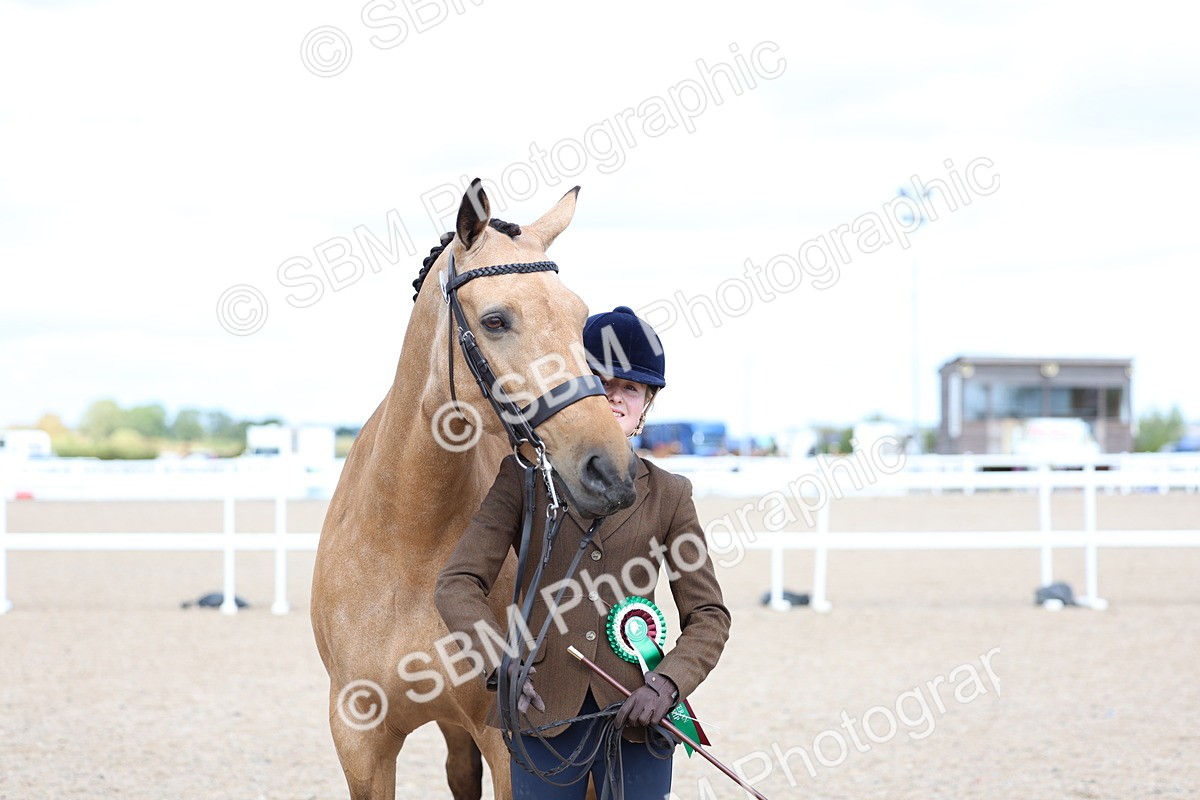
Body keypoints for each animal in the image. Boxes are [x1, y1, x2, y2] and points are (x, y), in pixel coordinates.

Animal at [311, 180, 639, 799]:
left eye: (581, 315)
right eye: (495, 320)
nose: (608, 472)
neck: (407, 540)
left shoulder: (511, 744)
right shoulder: (359, 741)